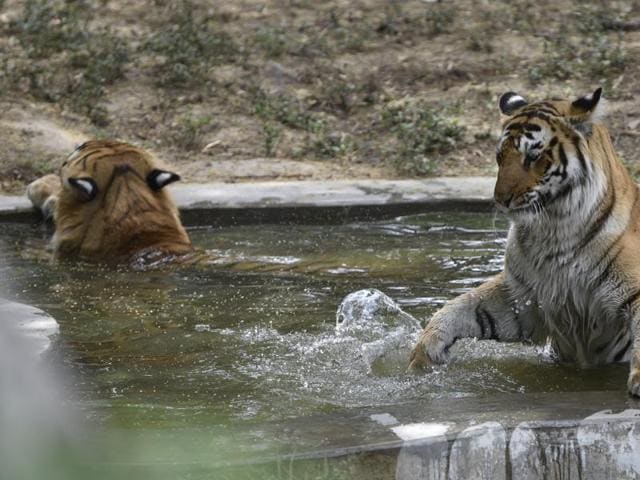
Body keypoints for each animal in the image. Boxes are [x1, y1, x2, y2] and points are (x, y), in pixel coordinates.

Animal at [409, 87, 640, 397]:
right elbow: (464, 307)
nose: (500, 199)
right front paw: (425, 353)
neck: (553, 229)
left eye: (532, 157)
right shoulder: (523, 297)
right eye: (499, 157)